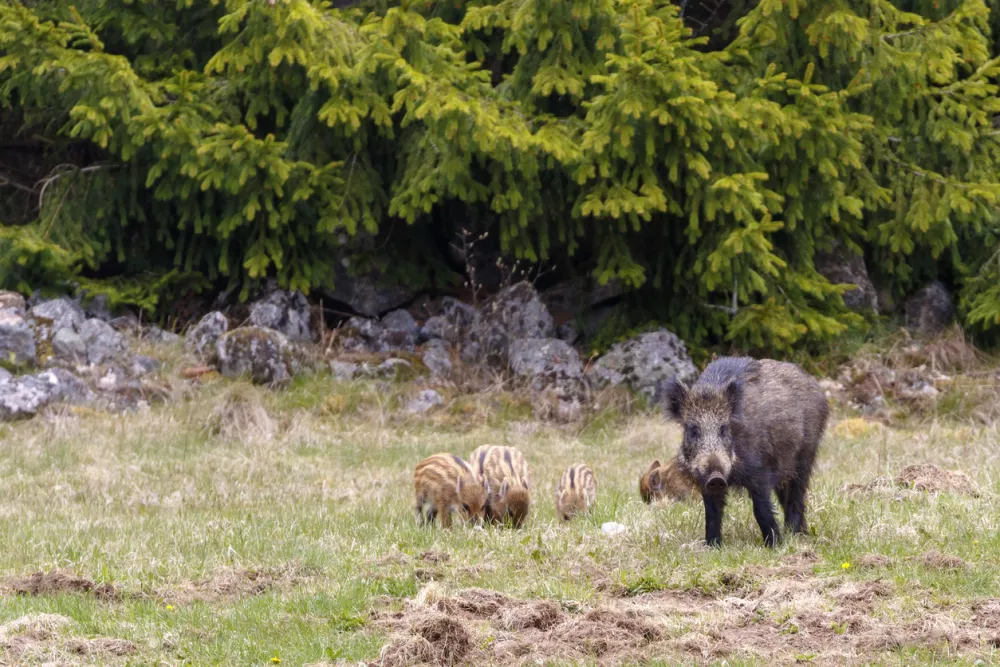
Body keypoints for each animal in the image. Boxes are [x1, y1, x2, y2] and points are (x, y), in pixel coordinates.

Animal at [662, 357, 828, 547]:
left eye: (723, 428)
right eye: (692, 430)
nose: (716, 477)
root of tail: (815, 386)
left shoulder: (760, 472)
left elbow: (761, 509)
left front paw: (774, 545)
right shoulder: (705, 483)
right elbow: (711, 513)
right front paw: (712, 545)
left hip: (805, 456)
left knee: (797, 495)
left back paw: (793, 534)